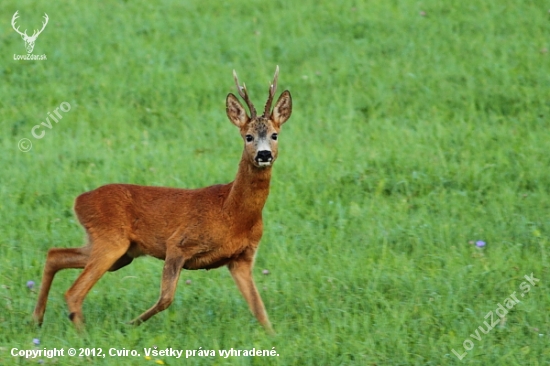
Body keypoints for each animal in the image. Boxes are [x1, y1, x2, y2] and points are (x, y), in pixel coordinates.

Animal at [31, 66, 294, 334]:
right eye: (248, 137)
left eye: (274, 135)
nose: (264, 154)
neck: (232, 212)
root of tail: (79, 200)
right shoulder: (178, 243)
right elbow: (166, 298)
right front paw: (130, 323)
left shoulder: (242, 258)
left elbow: (258, 308)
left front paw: (273, 337)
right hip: (111, 240)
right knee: (73, 291)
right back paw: (81, 334)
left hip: (120, 251)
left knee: (55, 255)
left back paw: (36, 320)